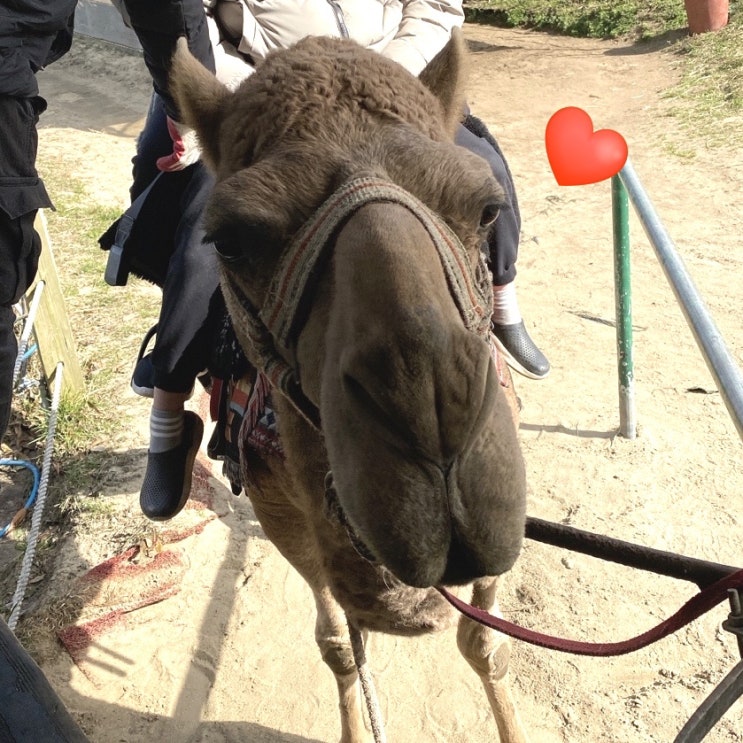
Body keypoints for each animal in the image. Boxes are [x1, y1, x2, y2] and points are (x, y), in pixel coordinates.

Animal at [170, 30, 528, 743]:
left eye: (486, 211)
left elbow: (485, 642)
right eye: (230, 240)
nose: (432, 419)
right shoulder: (282, 513)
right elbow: (340, 644)